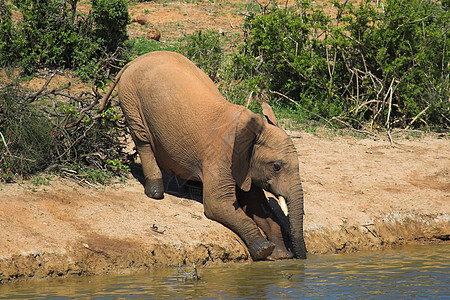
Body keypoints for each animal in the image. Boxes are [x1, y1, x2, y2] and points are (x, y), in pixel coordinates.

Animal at [100, 51, 308, 260]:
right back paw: (155, 191)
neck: (253, 130)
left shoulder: (246, 166)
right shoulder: (221, 156)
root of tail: (135, 60)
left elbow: (257, 207)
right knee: (142, 139)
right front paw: (264, 249)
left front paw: (281, 255)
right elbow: (218, 205)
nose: (302, 256)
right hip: (131, 97)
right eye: (276, 167)